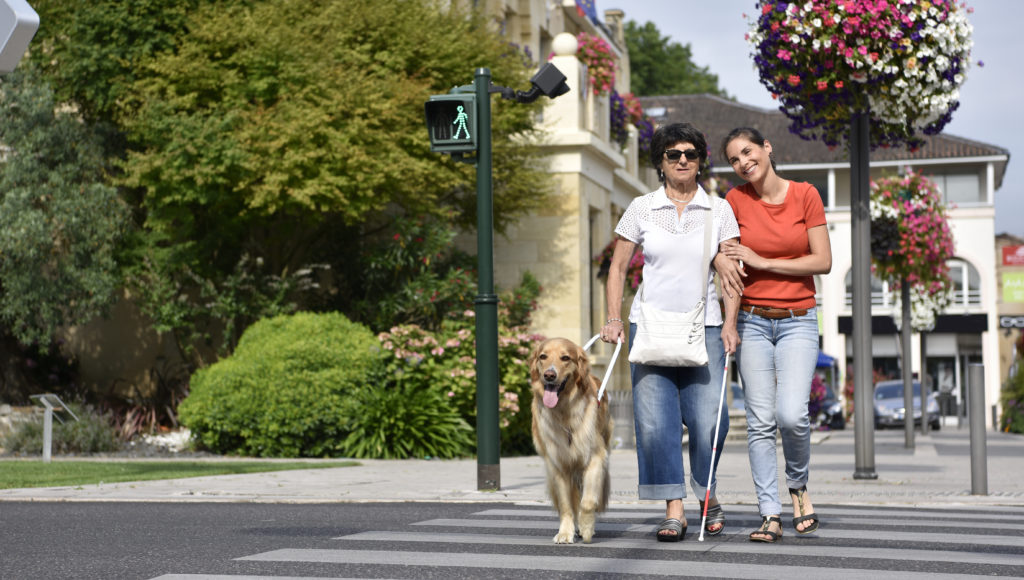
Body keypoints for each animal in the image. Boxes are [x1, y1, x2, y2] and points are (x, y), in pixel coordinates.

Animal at [532, 336, 610, 545]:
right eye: (543, 356)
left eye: (565, 357)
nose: (549, 375)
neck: (564, 411)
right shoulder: (558, 465)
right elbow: (566, 505)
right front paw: (565, 532)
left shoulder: (595, 458)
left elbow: (588, 501)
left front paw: (586, 528)